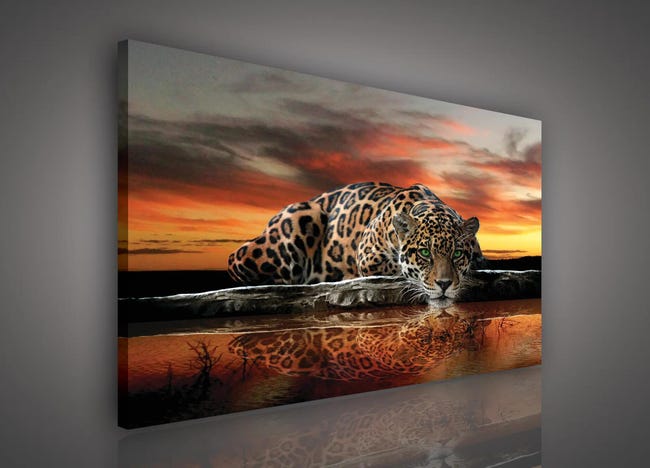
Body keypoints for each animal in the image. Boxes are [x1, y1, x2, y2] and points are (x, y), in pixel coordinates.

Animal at [228, 182, 483, 302]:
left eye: (457, 254)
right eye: (425, 253)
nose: (444, 284)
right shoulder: (368, 255)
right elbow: (395, 268)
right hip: (300, 217)